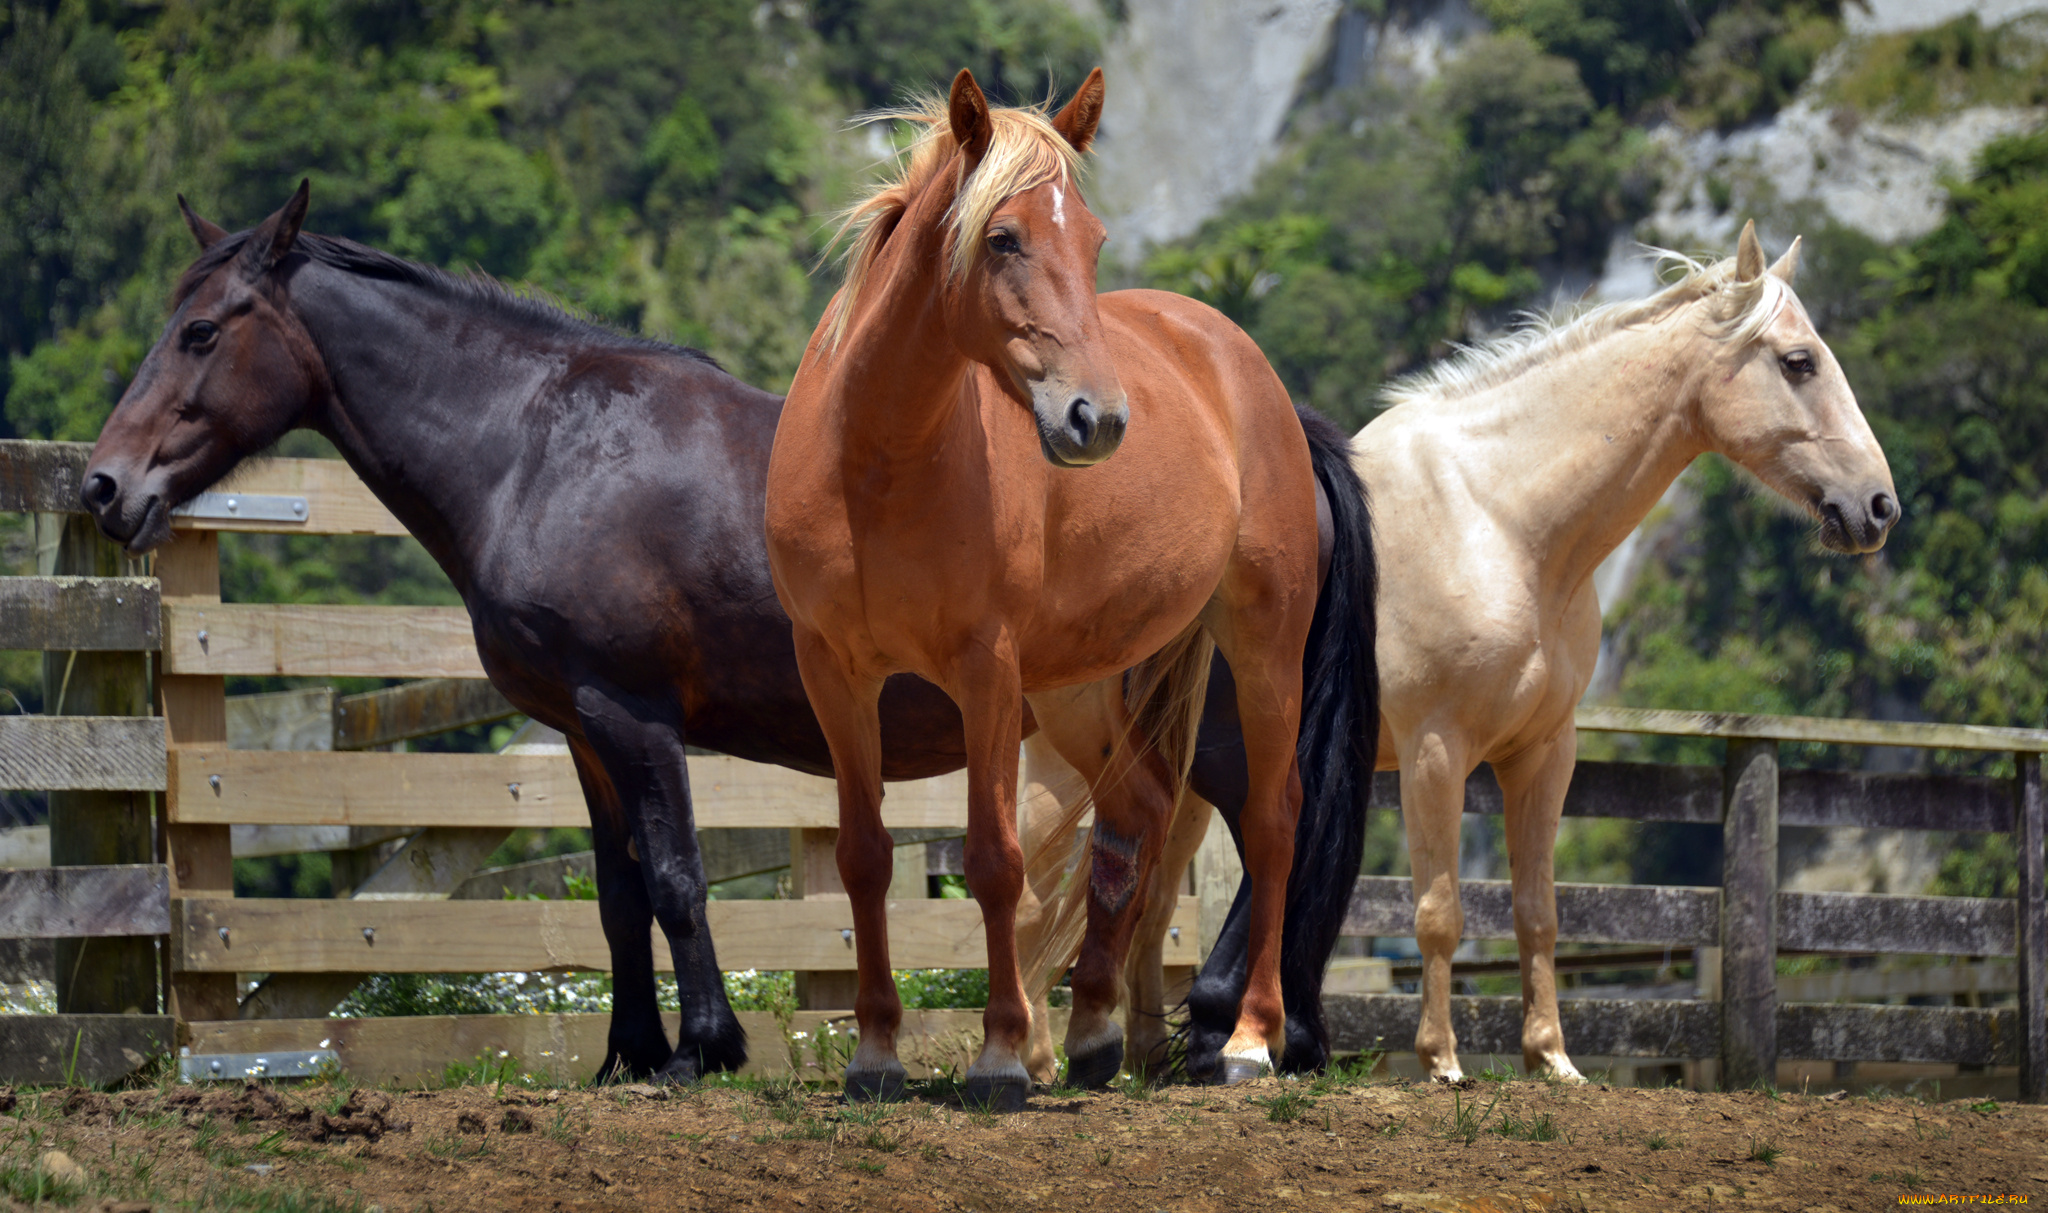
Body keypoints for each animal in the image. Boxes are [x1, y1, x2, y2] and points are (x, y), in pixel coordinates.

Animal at [761, 66, 1368, 1106]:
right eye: (1003, 237)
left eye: (1091, 241)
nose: (1099, 418)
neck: (876, 462)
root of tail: (1259, 380)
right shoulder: (833, 671)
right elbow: (864, 855)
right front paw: (875, 1050)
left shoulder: (986, 671)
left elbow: (996, 861)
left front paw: (1001, 1051)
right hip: (1081, 687)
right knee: (1137, 816)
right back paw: (1091, 1033)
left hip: (1261, 645)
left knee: (1271, 817)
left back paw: (1251, 1039)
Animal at [1056, 222, 1900, 1081]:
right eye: (1798, 361)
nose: (1877, 504)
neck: (1500, 520)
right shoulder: (1436, 752)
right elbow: (1439, 911)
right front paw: (1441, 1059)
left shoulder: (1543, 753)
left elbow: (1537, 911)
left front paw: (1551, 1056)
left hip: (1185, 763)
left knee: (1156, 901)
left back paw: (1149, 1058)